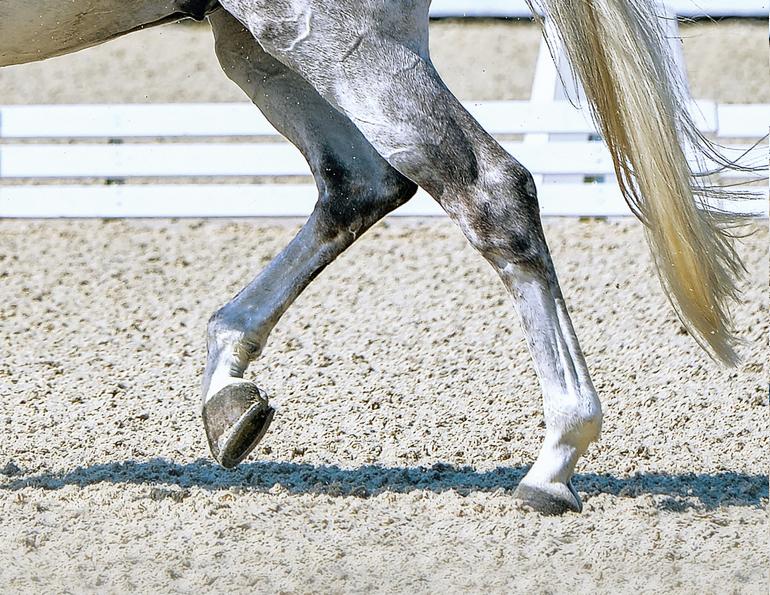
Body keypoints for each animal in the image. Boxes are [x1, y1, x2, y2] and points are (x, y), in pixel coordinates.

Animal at [0, 0, 750, 515]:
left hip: (332, 36)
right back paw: (229, 395)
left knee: (490, 190)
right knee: (360, 181)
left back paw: (555, 460)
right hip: (266, 44)